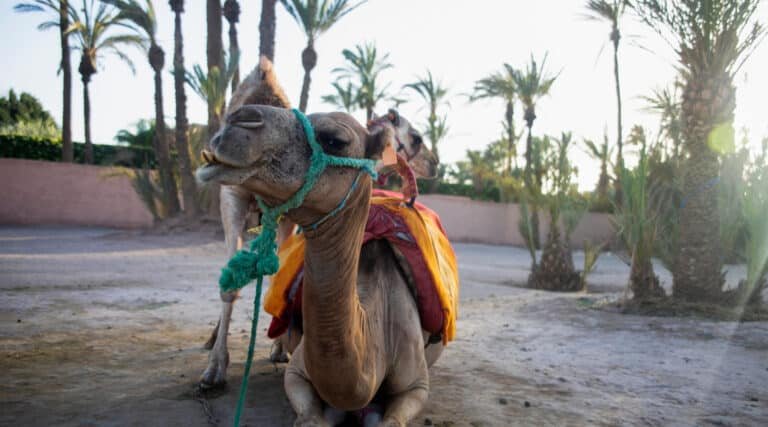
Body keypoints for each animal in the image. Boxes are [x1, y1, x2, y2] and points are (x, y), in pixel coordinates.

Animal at [197, 103, 446, 426]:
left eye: (334, 140)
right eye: (416, 138)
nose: (238, 121)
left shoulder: (416, 386)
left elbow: (392, 419)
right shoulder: (297, 375)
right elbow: (311, 418)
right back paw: (215, 367)